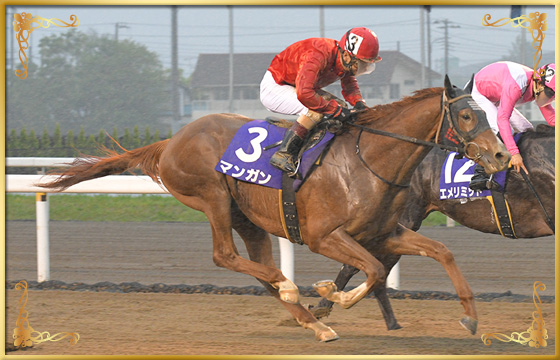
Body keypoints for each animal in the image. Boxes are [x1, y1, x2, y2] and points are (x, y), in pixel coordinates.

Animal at [38, 77, 512, 342]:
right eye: (467, 116)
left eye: (488, 114)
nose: (502, 156)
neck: (369, 159)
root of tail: (170, 141)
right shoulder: (325, 236)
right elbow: (375, 271)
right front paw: (332, 292)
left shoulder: (384, 232)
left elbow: (441, 252)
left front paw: (470, 318)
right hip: (212, 196)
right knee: (225, 256)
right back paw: (292, 289)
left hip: (250, 218)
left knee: (258, 268)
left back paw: (313, 323)